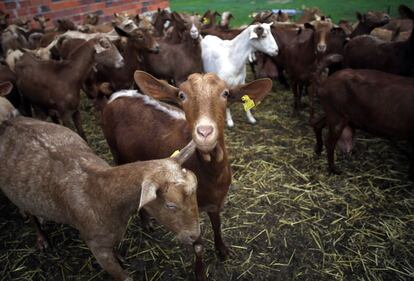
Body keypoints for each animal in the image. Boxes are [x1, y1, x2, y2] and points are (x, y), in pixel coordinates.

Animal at [0, 106, 201, 278]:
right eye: (170, 205)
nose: (195, 236)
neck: (103, 192)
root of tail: (8, 123)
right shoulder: (97, 247)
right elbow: (124, 276)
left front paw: (120, 257)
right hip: (16, 194)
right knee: (30, 215)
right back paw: (42, 239)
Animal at [101, 70, 274, 280]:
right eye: (182, 96)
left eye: (226, 94)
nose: (205, 132)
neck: (210, 175)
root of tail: (118, 94)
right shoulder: (188, 205)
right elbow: (197, 243)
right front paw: (200, 272)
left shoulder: (217, 200)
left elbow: (217, 224)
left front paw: (223, 251)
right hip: (116, 151)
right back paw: (146, 222)